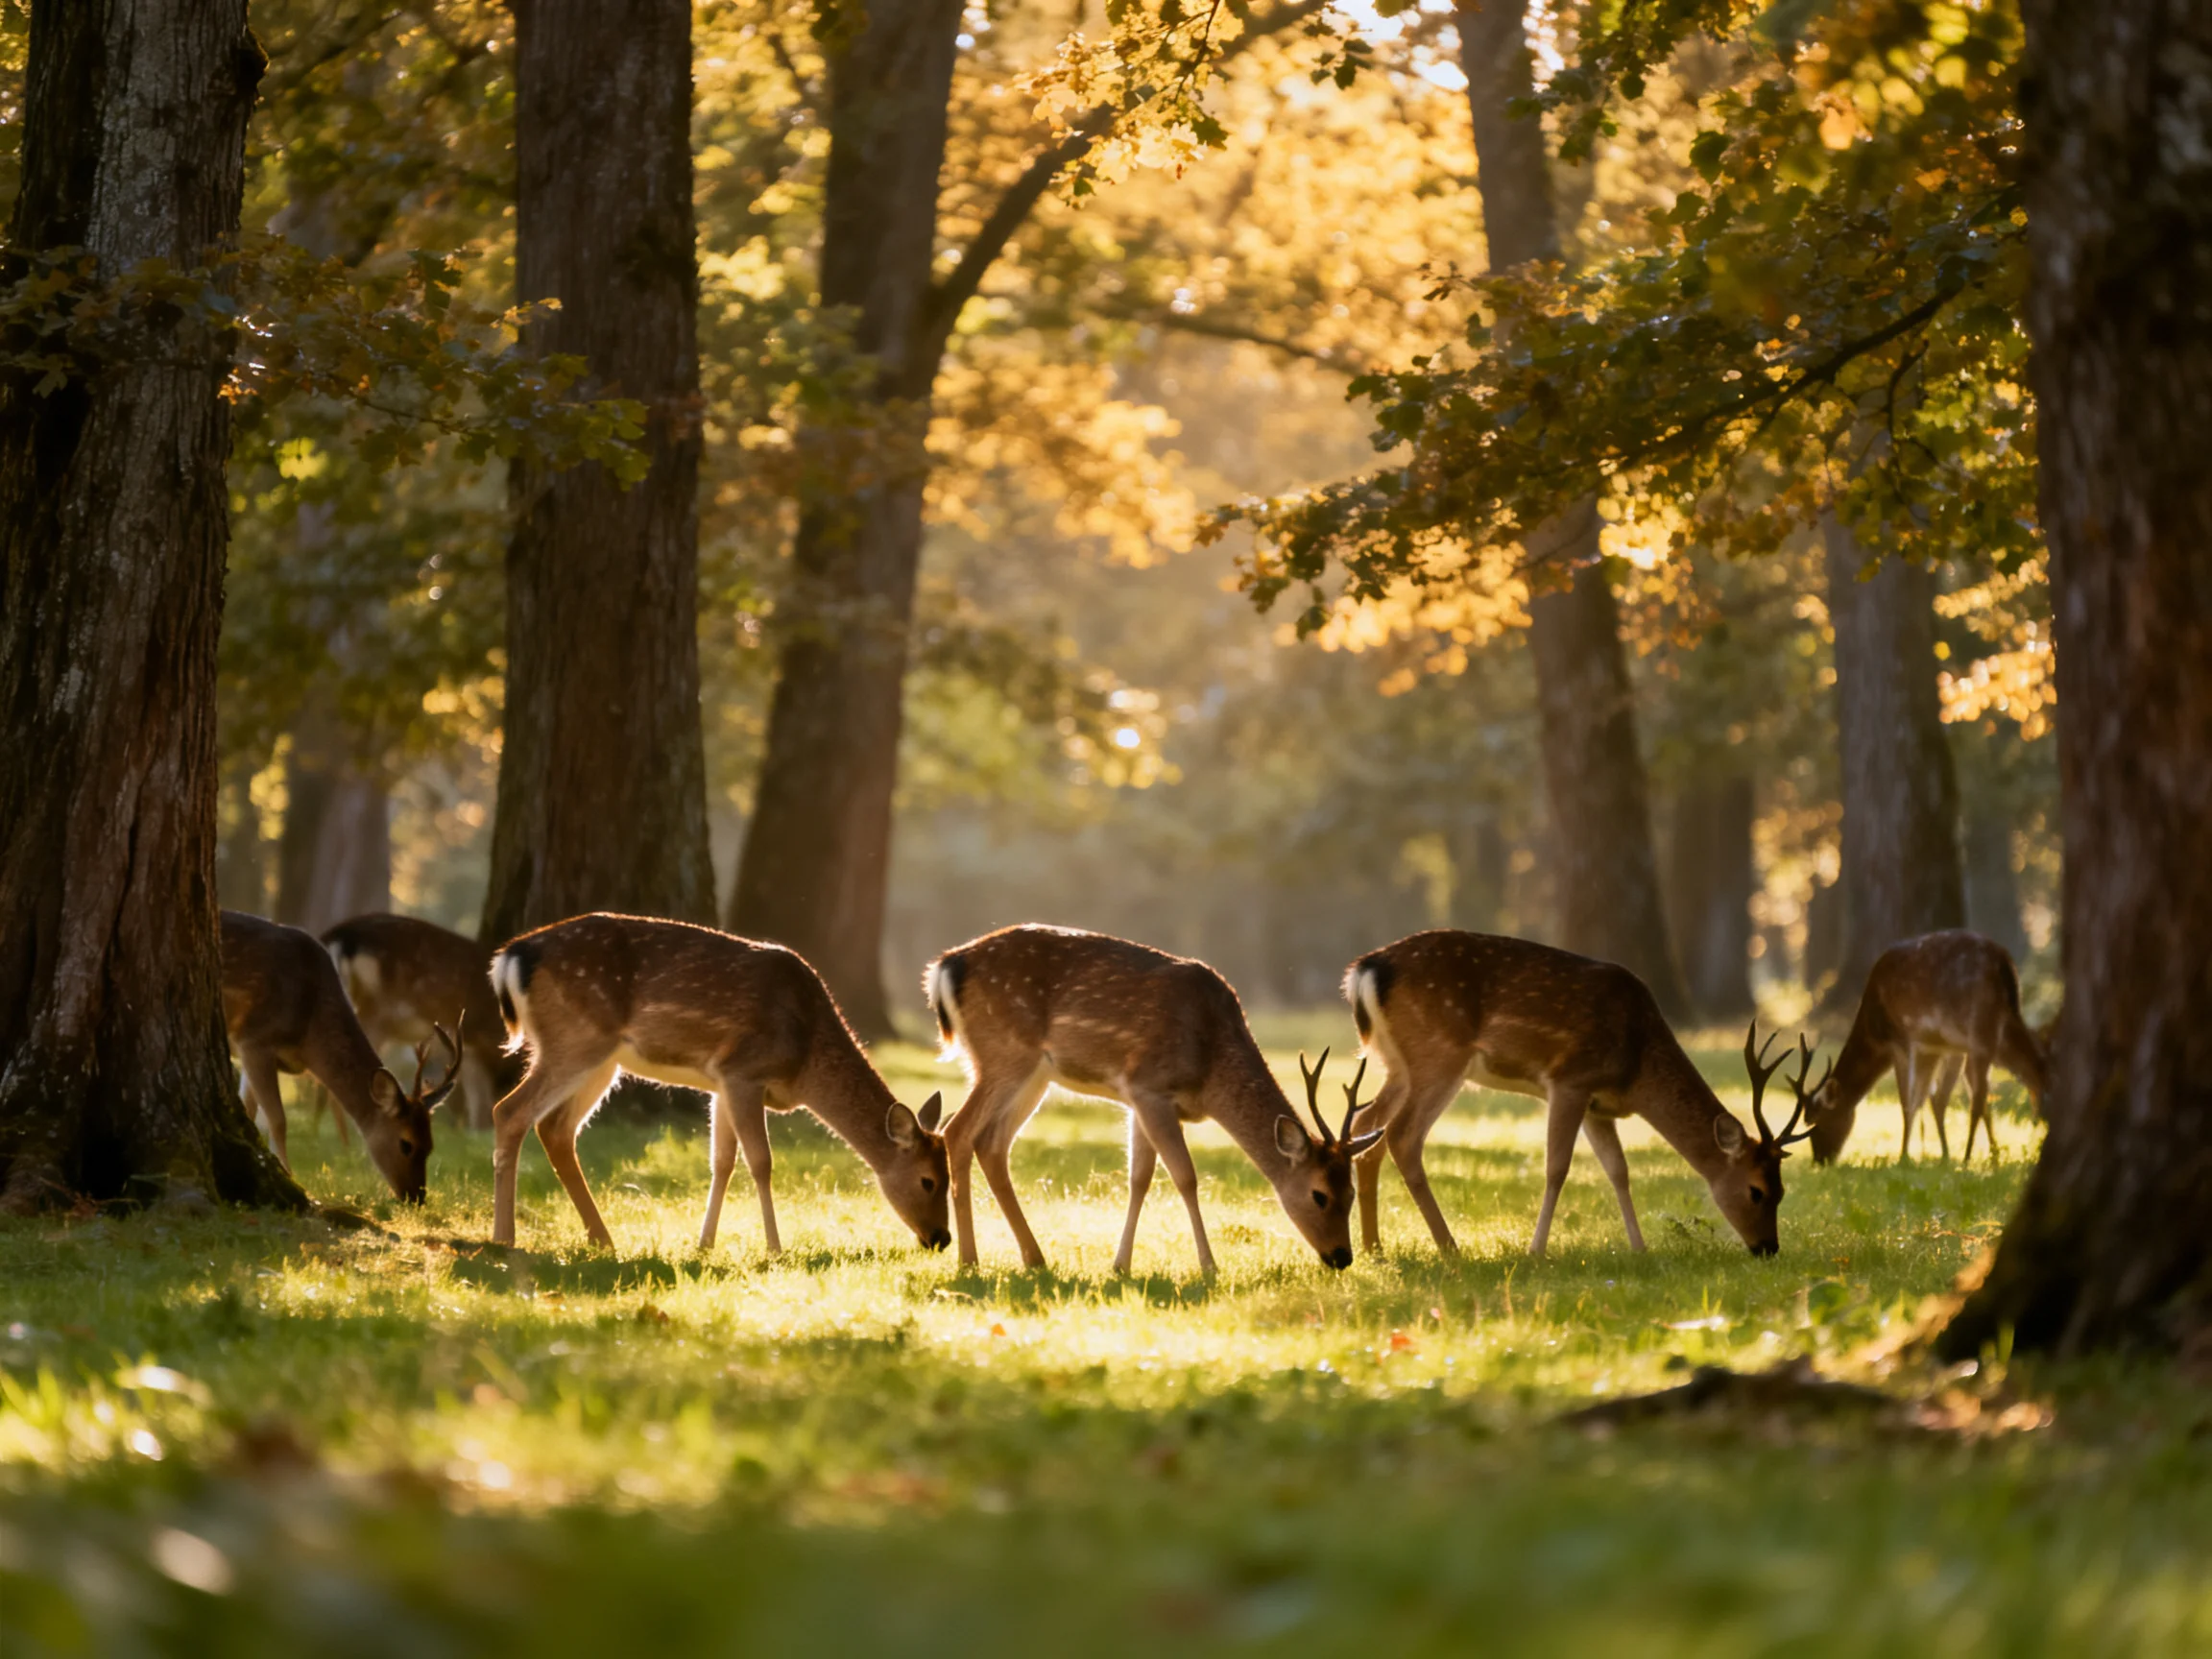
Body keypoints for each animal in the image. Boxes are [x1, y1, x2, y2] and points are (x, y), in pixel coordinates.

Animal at [220, 910, 458, 1202]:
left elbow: (249, 1112)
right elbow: (278, 1120)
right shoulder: (255, 1038)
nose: (416, 1198)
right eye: (406, 1144)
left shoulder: (255, 1052)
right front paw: (292, 1178)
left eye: (430, 1146)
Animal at [487, 913, 950, 1254]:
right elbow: (761, 1161)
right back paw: (504, 1238)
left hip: (601, 1060)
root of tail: (510, 958)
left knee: (555, 1128)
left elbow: (722, 1161)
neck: (804, 1061)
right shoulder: (744, 1071)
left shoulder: (721, 1081)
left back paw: (602, 1239)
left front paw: (705, 1244)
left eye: (951, 1178)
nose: (941, 1239)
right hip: (577, 1039)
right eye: (928, 1180)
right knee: (509, 1111)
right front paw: (775, 1248)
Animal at [926, 925, 1384, 1276]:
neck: (1209, 1070)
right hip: (1004, 1053)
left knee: (992, 1143)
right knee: (958, 1130)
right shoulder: (1150, 1088)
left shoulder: (1137, 1100)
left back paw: (1034, 1257)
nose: (1341, 1257)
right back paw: (969, 1260)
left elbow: (1139, 1178)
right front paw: (1209, 1266)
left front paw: (1120, 1265)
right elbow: (1185, 1176)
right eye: (1319, 1194)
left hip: (1035, 1074)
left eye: (1351, 1193)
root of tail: (945, 966)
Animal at [1343, 930, 1821, 1258]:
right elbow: (1557, 1168)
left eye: (1782, 1191)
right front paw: (1536, 1250)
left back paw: (1373, 1247)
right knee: (1403, 1135)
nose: (1768, 1248)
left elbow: (1619, 1171)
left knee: (1368, 1126)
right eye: (1757, 1191)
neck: (1636, 1066)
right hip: (1439, 1055)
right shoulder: (1569, 1080)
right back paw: (1449, 1247)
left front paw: (1639, 1248)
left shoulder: (1598, 1107)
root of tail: (1365, 971)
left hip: (1395, 1063)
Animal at [1805, 930, 2048, 1166]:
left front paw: (1904, 1157)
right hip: (1998, 1027)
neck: (1875, 1030)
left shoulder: (1902, 1041)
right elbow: (1934, 1099)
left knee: (1984, 1094)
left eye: (1819, 1123)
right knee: (2024, 1072)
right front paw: (1943, 1155)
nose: (1820, 1160)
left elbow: (1910, 1101)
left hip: (1980, 1024)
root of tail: (2004, 962)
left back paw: (1969, 1157)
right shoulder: (1942, 1048)